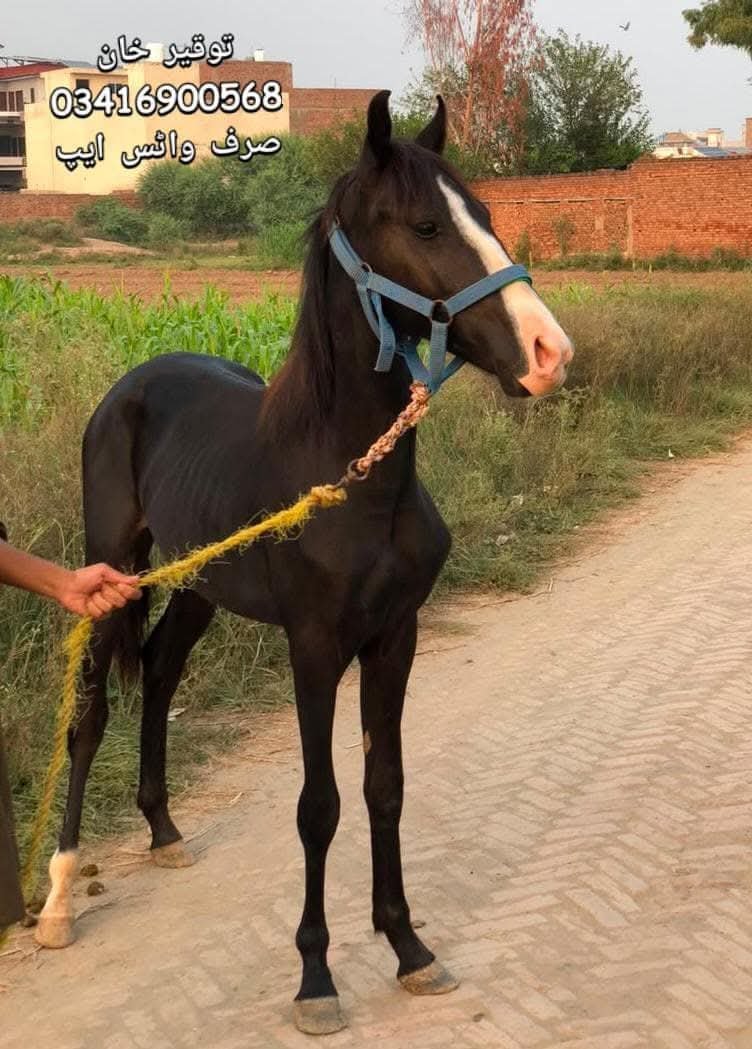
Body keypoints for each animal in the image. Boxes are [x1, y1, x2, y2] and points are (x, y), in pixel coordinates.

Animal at [35, 91, 573, 1035]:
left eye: (487, 213)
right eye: (427, 224)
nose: (550, 355)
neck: (349, 477)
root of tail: (130, 386)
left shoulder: (395, 638)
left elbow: (384, 786)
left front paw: (409, 948)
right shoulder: (315, 648)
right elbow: (319, 806)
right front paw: (316, 977)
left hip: (200, 583)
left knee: (162, 670)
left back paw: (163, 830)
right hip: (111, 567)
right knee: (91, 713)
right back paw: (61, 896)